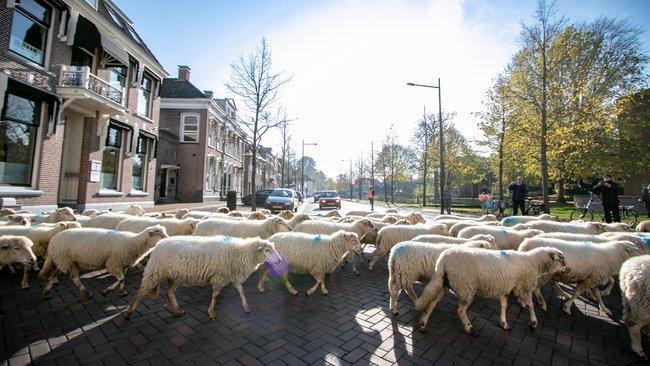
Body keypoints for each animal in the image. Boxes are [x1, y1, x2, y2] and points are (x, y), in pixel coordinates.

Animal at [39, 224, 168, 298]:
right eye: (159, 234)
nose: (168, 239)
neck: (133, 242)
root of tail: (52, 241)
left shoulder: (123, 264)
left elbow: (123, 279)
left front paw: (122, 291)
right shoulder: (113, 264)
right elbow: (121, 278)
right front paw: (106, 291)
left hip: (64, 262)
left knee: (53, 275)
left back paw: (47, 291)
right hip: (66, 261)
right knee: (74, 278)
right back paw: (86, 293)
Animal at [123, 234, 272, 318]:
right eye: (267, 250)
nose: (278, 260)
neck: (238, 253)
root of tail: (158, 245)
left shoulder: (231, 275)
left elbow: (241, 291)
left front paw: (246, 307)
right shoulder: (218, 276)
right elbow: (215, 295)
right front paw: (211, 312)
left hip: (175, 277)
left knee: (169, 293)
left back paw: (177, 310)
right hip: (154, 272)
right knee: (140, 292)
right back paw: (128, 312)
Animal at [416, 246, 568, 334]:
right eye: (562, 260)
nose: (568, 269)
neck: (534, 262)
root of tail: (443, 260)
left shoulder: (505, 288)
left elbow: (504, 305)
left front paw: (504, 323)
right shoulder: (523, 287)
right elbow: (530, 304)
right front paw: (533, 323)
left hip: (444, 282)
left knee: (432, 303)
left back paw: (423, 323)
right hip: (466, 285)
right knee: (460, 310)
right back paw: (468, 327)